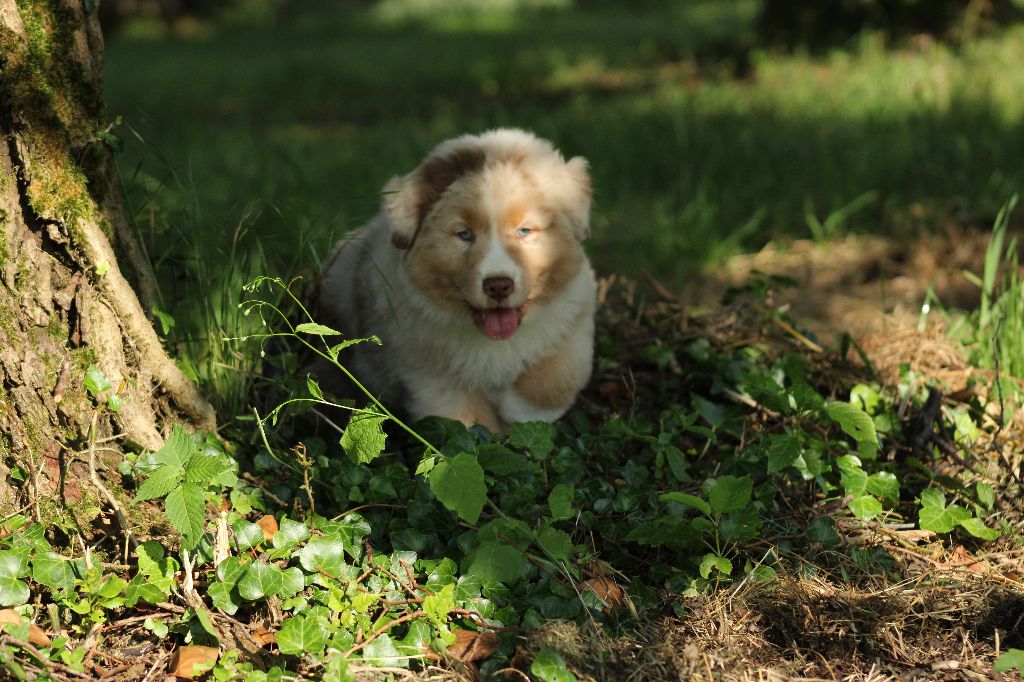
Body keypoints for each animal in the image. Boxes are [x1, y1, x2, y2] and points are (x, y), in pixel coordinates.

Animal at [315, 129, 598, 430]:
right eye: (465, 234)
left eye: (524, 231)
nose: (499, 285)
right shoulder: (430, 373)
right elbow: (463, 423)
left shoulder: (574, 319)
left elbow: (557, 374)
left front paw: (522, 414)